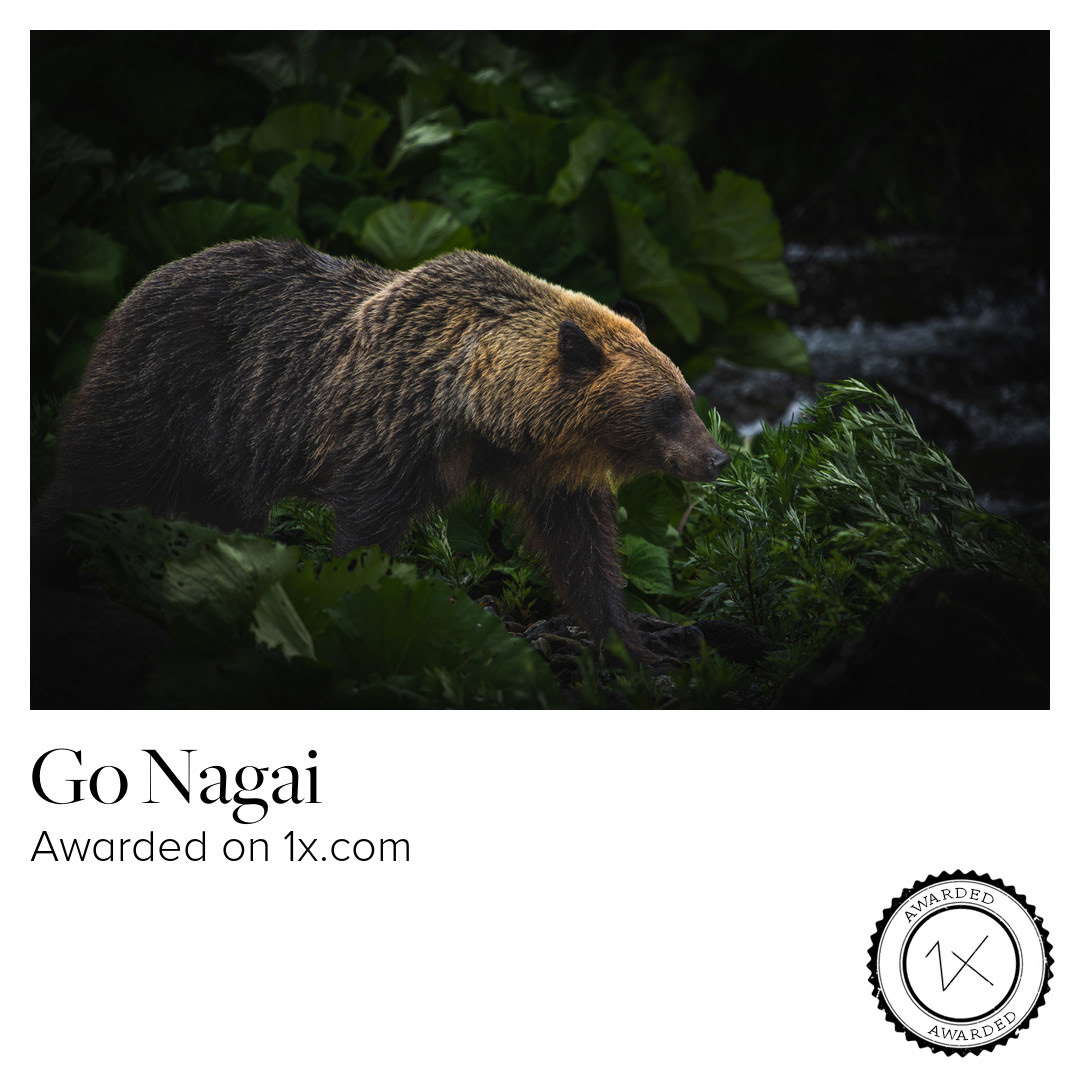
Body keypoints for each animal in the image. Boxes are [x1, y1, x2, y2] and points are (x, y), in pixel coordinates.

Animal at [35, 239, 730, 660]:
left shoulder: (552, 472)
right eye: (667, 407)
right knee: (91, 478)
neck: (479, 413)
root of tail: (141, 284)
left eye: (689, 396)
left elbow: (584, 550)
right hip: (166, 398)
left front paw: (632, 639)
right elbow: (365, 537)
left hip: (224, 454)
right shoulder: (387, 438)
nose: (718, 458)